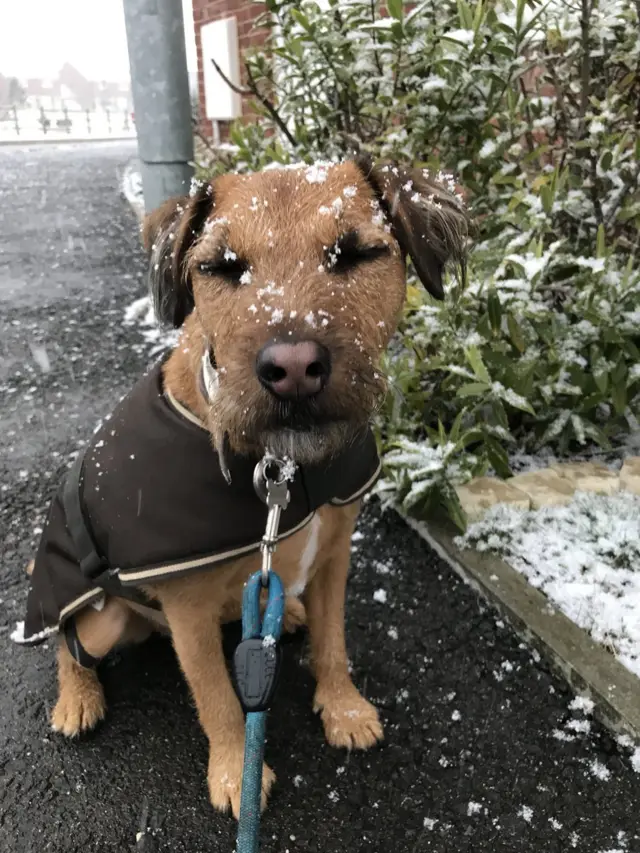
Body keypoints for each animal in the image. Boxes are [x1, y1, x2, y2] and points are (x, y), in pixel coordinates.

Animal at [20, 155, 468, 820]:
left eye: (357, 252)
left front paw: (343, 708)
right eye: (221, 266)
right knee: (65, 644)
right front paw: (238, 773)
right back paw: (77, 698)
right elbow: (218, 698)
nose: (293, 369)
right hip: (98, 615)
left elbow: (334, 643)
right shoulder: (187, 613)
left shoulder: (336, 554)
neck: (283, 469)